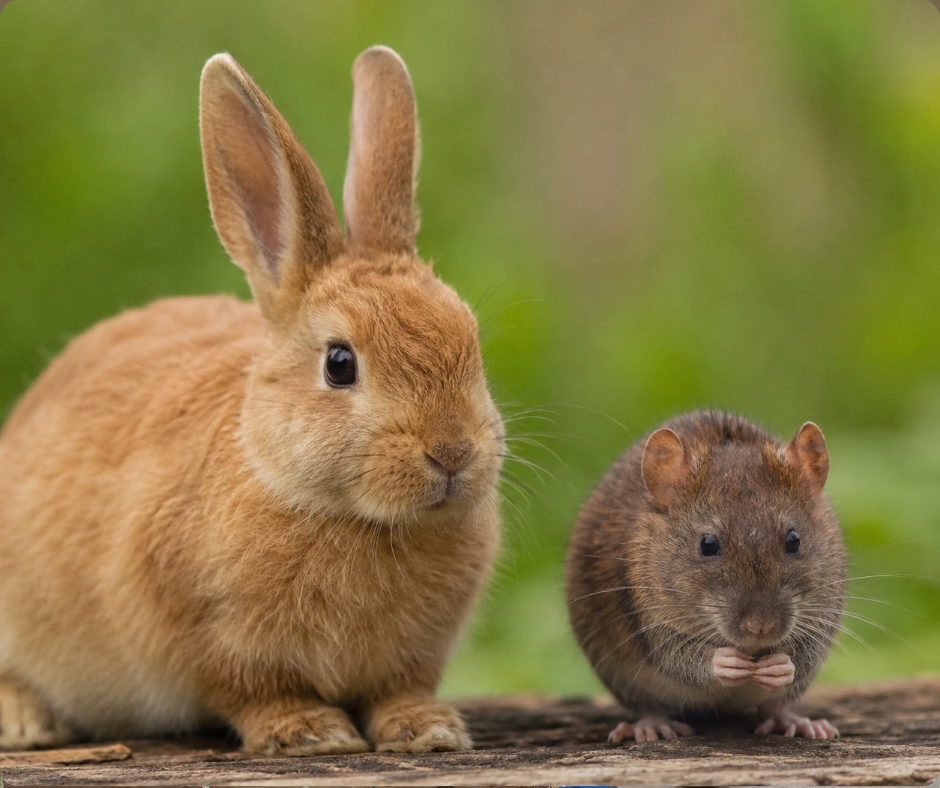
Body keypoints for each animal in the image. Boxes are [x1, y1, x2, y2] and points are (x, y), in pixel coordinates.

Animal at [0, 46, 504, 756]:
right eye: (340, 364)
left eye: (471, 340)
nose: (453, 452)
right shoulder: (206, 640)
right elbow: (254, 692)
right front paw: (311, 733)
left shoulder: (410, 659)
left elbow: (397, 691)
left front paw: (426, 730)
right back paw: (25, 723)